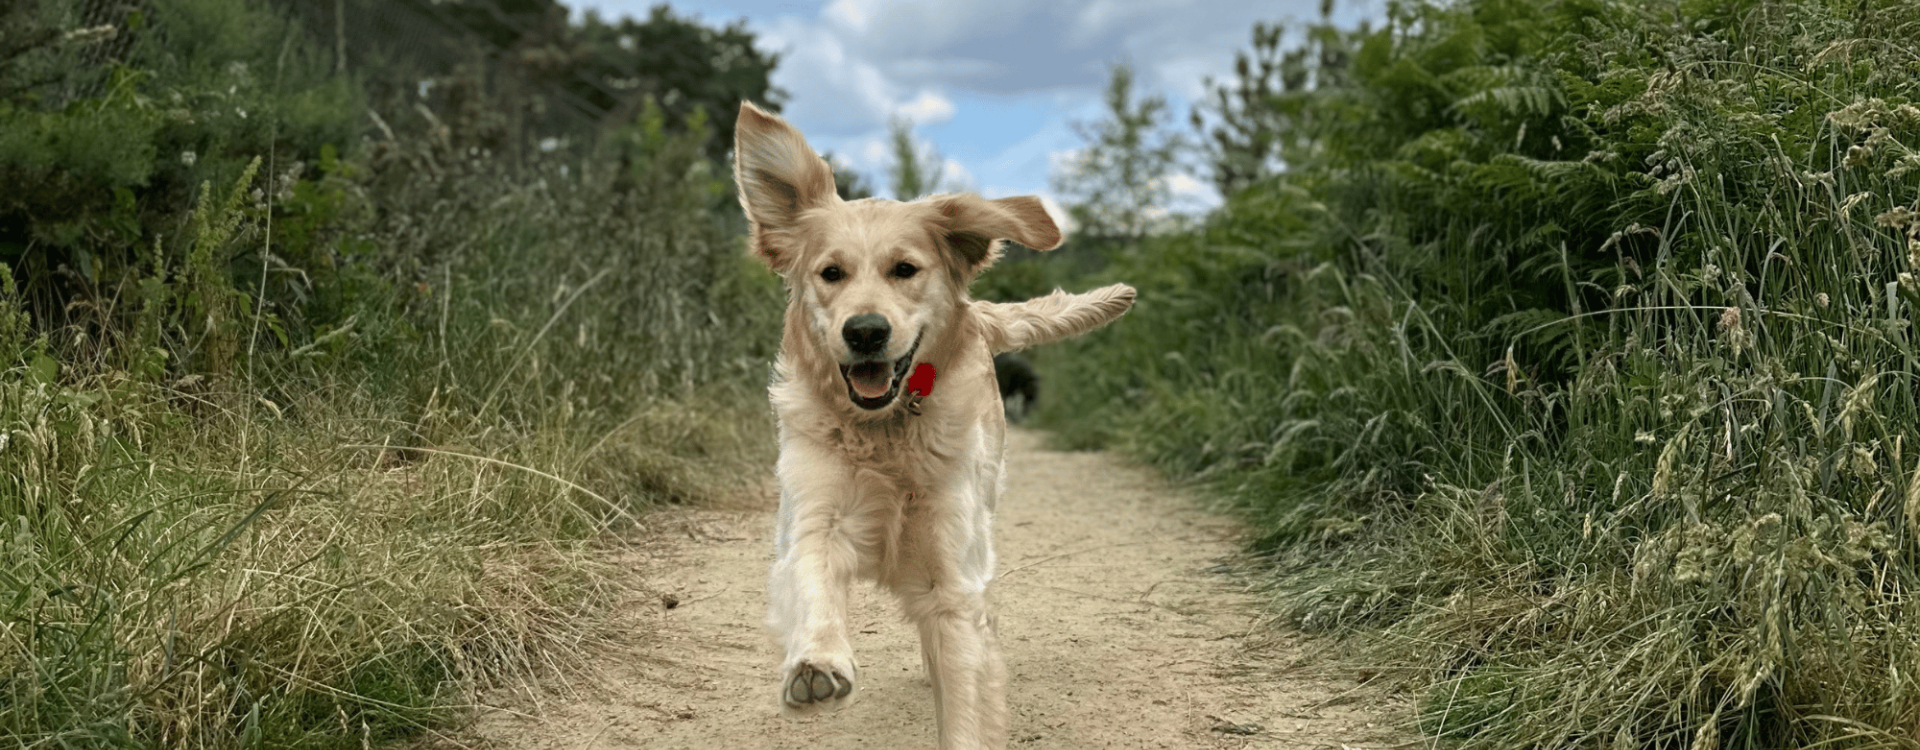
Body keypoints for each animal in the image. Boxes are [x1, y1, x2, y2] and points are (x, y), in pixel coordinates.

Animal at [725, 101, 1128, 750]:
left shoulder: (952, 580)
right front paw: (816, 663)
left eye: (905, 269)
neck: (886, 432)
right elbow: (811, 575)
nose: (865, 331)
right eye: (831, 273)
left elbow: (964, 691)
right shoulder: (815, 519)